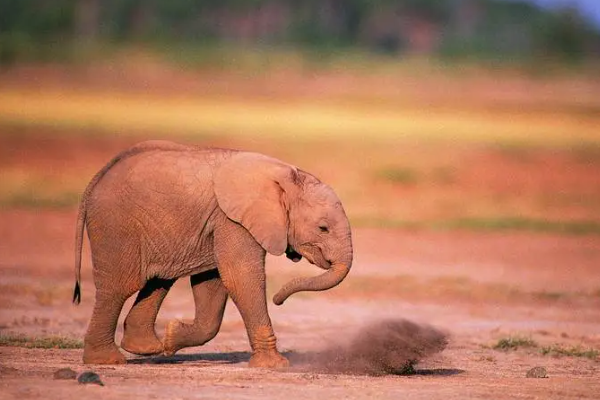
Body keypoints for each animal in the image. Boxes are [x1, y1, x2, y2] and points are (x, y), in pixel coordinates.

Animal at [76, 140, 356, 366]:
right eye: (323, 228)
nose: (279, 300)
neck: (285, 176)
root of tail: (95, 180)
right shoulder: (232, 219)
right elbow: (240, 275)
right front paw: (275, 366)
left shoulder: (220, 222)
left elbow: (213, 281)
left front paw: (172, 337)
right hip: (116, 225)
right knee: (119, 286)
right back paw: (107, 360)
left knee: (159, 280)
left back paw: (149, 348)